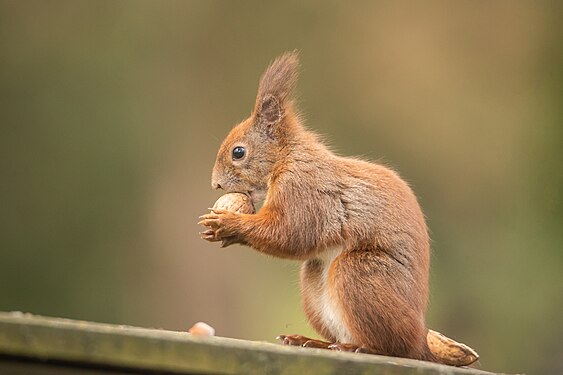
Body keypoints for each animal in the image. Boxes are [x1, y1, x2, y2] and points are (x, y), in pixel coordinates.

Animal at [200, 52, 464, 364]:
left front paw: (227, 224)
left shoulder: (305, 191)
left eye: (238, 152)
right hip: (316, 283)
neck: (287, 158)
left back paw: (361, 348)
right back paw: (312, 342)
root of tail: (421, 343)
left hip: (359, 272)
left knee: (396, 348)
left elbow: (290, 233)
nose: (215, 184)